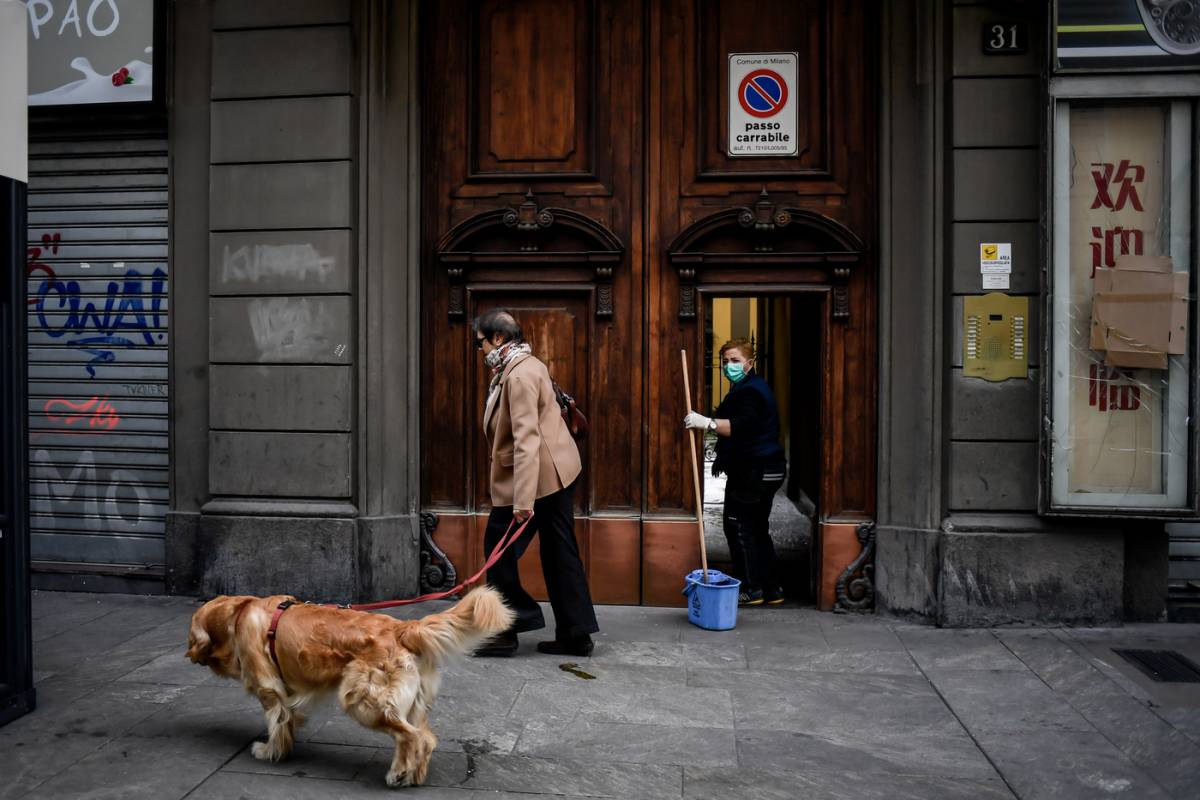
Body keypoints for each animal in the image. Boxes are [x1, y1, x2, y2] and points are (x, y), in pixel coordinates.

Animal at [184, 587, 513, 786]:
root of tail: (403, 628)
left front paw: (269, 751)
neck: (237, 614)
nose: (191, 655)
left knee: (411, 736)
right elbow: (288, 721)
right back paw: (414, 775)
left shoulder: (270, 690)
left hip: (364, 701)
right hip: (412, 704)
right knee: (426, 738)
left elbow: (276, 722)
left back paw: (397, 773)